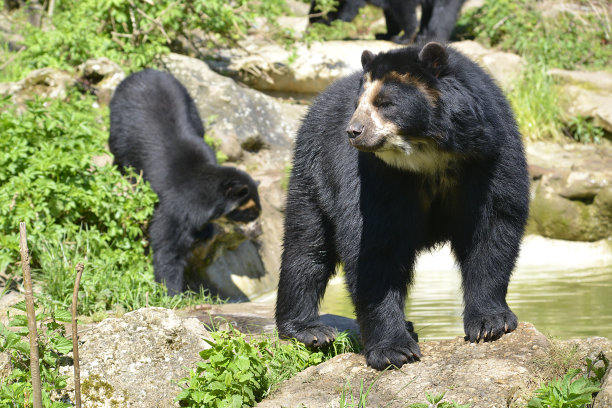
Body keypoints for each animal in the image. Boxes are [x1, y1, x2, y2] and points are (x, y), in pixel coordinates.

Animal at [109, 68, 260, 294]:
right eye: (248, 215)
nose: (258, 233)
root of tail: (145, 71)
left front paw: (205, 231)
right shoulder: (176, 206)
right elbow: (168, 245)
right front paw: (171, 292)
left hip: (189, 102)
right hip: (119, 118)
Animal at [278, 43, 532, 372]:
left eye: (385, 103)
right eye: (358, 104)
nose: (354, 131)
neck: (429, 154)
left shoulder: (489, 155)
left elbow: (493, 225)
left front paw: (491, 323)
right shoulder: (375, 176)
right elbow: (374, 247)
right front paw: (394, 350)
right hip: (314, 168)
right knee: (306, 244)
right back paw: (308, 329)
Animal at [308, 0, 466, 43]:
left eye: (315, 19)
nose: (309, 28)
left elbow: (404, 11)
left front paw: (402, 38)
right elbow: (390, 15)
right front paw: (384, 34)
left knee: (442, 14)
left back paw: (431, 38)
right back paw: (422, 36)